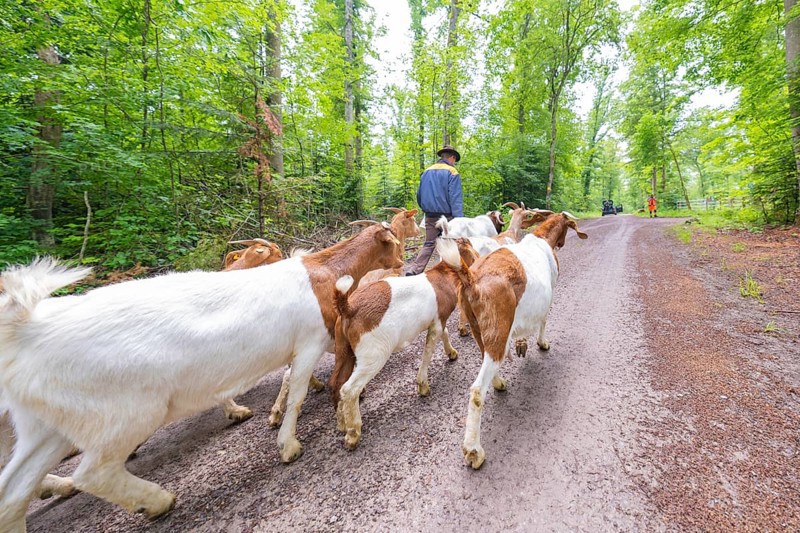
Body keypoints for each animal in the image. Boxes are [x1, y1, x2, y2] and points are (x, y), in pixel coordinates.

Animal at [0, 222, 402, 529]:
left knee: (13, 493)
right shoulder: (308, 341)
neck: (322, 272)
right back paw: (158, 499)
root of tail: (26, 332)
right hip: (125, 411)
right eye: (394, 242)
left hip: (45, 424)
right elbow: (297, 394)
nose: (400, 261)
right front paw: (289, 444)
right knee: (93, 472)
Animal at [328, 237, 479, 450]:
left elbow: (445, 333)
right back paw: (353, 434)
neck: (442, 275)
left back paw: (342, 423)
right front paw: (423, 386)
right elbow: (429, 349)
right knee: (349, 389)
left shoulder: (438, 319)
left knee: (336, 383)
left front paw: (452, 353)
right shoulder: (437, 323)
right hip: (373, 354)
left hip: (344, 349)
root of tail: (348, 307)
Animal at [439, 212, 587, 469]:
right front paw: (541, 344)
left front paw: (521, 345)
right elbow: (543, 321)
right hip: (498, 329)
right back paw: (474, 450)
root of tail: (472, 278)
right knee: (477, 390)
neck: (541, 239)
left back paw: (499, 383)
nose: (561, 244)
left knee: (485, 358)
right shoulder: (548, 297)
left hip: (480, 329)